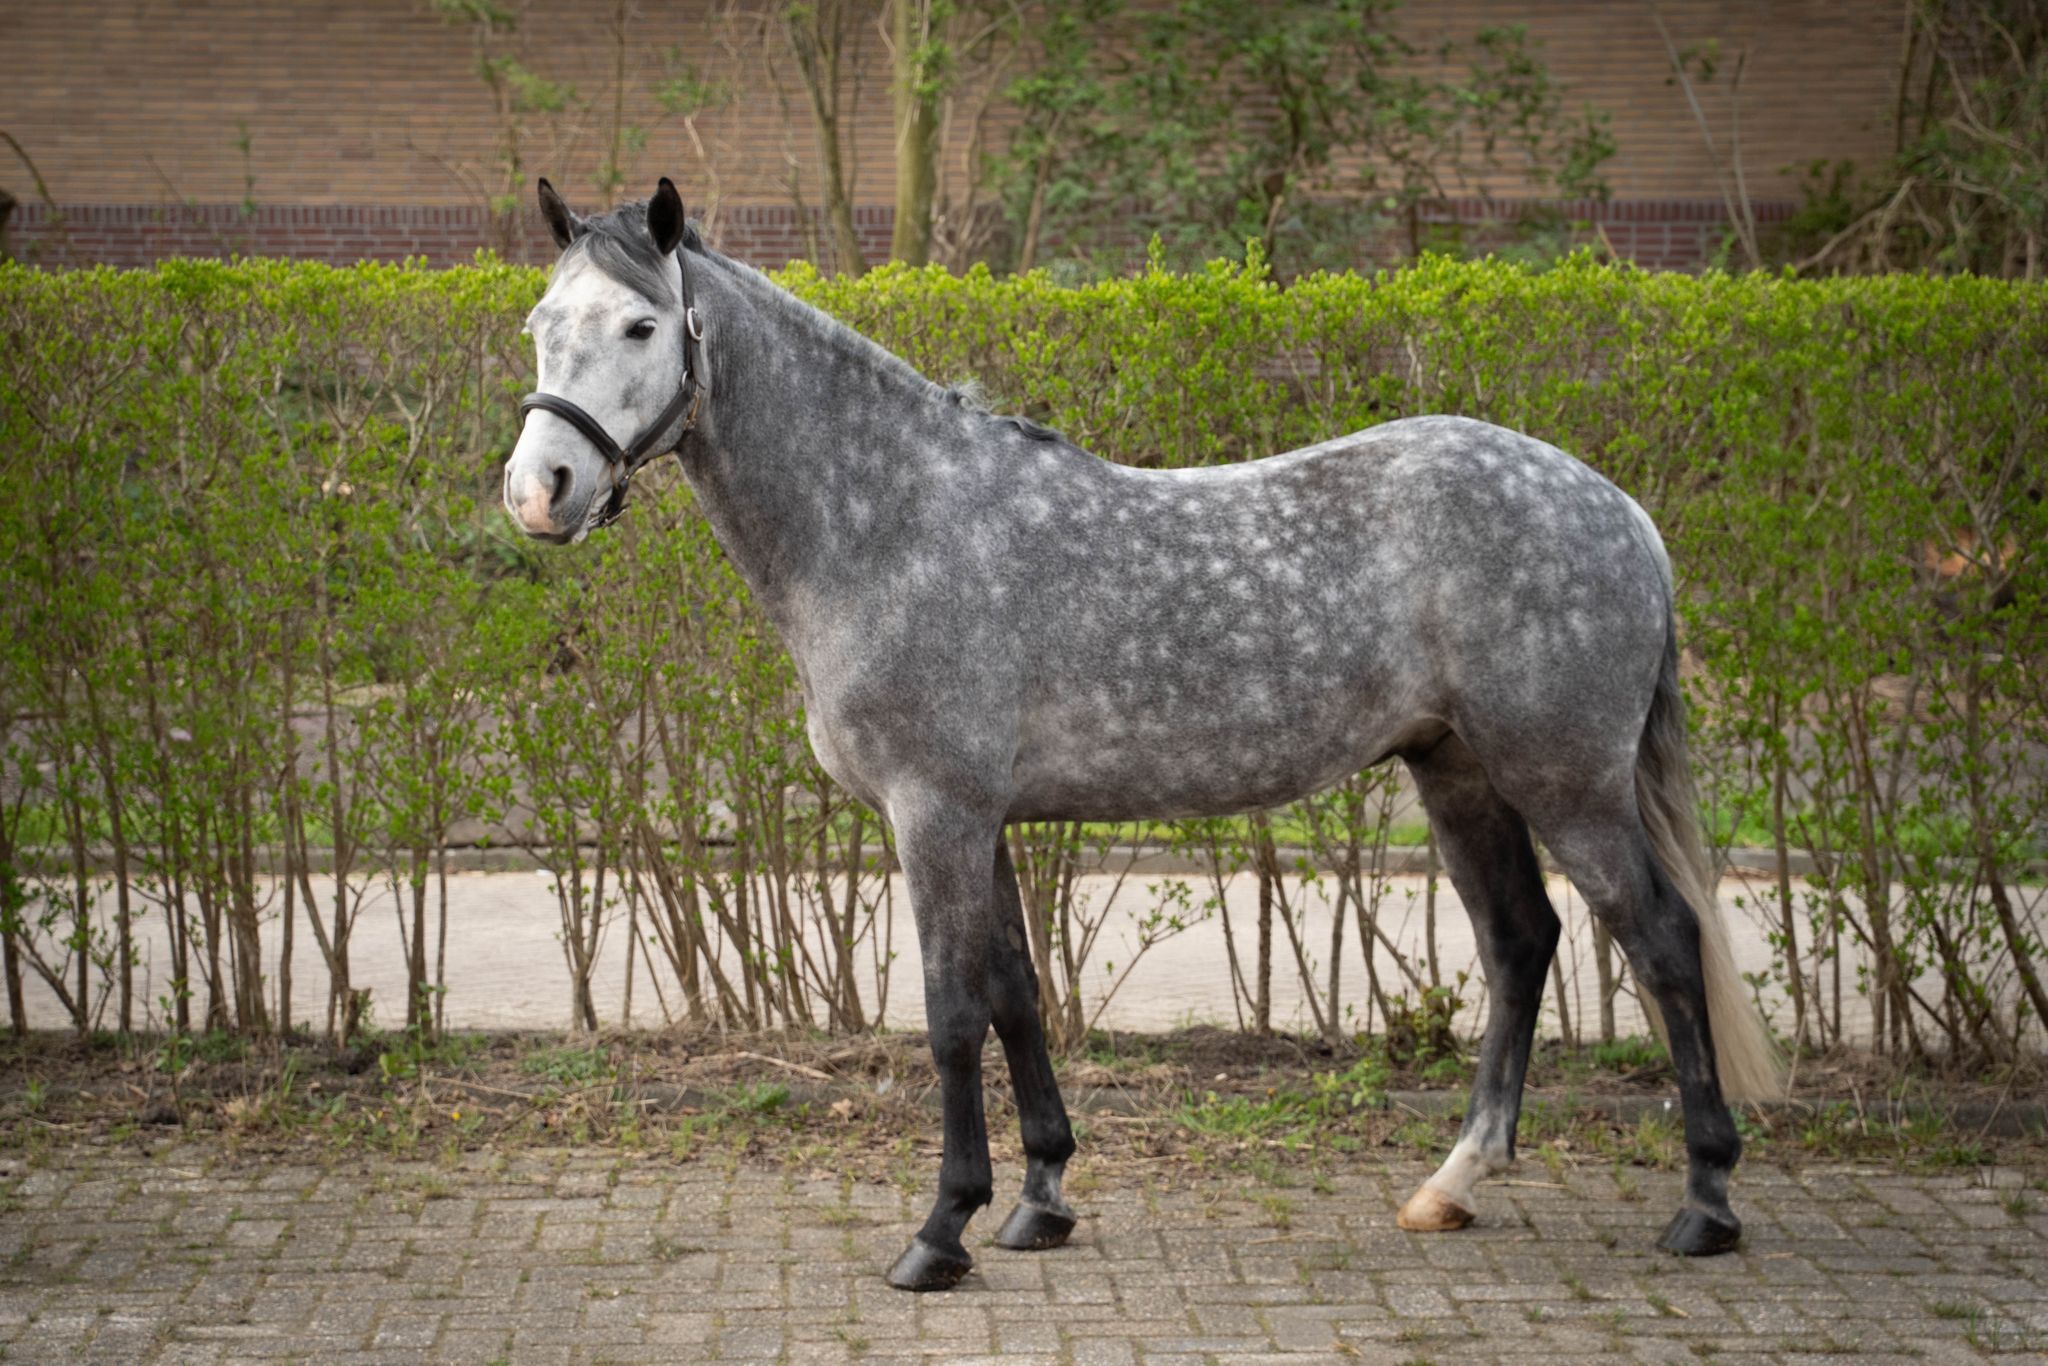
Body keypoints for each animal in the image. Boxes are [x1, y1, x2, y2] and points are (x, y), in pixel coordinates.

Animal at [501, 177, 1782, 1292]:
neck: (893, 522)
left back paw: (1705, 1202)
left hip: (1567, 784)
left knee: (1661, 943)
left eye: (640, 324)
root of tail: (1618, 511)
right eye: (539, 325)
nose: (538, 490)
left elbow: (951, 1013)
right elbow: (1017, 994)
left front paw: (939, 1231)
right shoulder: (984, 822)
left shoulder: (934, 815)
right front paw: (1038, 1200)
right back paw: (1452, 1183)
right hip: (1459, 774)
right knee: (1521, 941)